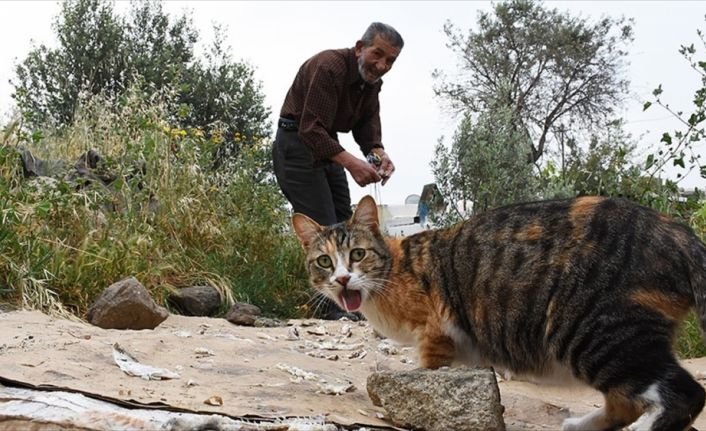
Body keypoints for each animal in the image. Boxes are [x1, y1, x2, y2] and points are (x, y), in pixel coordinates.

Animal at [292, 196, 706, 431]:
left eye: (357, 254)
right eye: (324, 261)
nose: (342, 279)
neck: (394, 268)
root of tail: (676, 231)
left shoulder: (435, 336)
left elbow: (426, 378)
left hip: (592, 332)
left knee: (686, 394)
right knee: (626, 401)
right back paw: (580, 425)